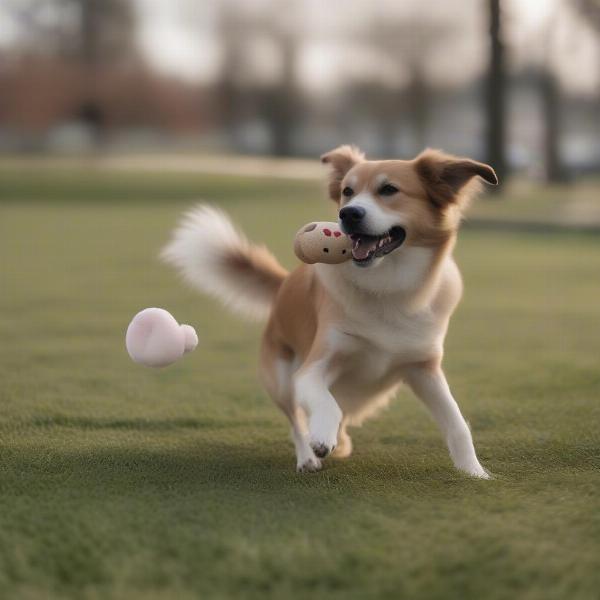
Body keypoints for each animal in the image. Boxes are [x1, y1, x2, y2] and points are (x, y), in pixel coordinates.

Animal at [162, 146, 500, 478]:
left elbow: (456, 422)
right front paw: (322, 437)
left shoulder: (424, 369)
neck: (386, 286)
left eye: (389, 189)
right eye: (347, 192)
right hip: (282, 380)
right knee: (297, 422)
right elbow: (326, 402)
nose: (348, 213)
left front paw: (475, 472)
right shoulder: (313, 367)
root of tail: (284, 283)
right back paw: (308, 456)